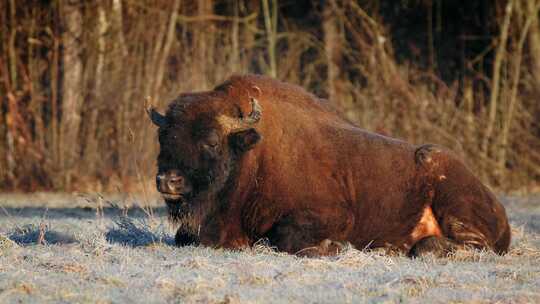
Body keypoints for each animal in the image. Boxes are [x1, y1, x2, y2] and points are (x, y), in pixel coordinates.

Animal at [147, 74, 510, 256]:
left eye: (210, 140)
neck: (252, 156)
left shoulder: (333, 214)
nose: (168, 181)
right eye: (164, 137)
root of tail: (501, 211)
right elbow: (183, 237)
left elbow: (284, 238)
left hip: (455, 204)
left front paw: (334, 247)